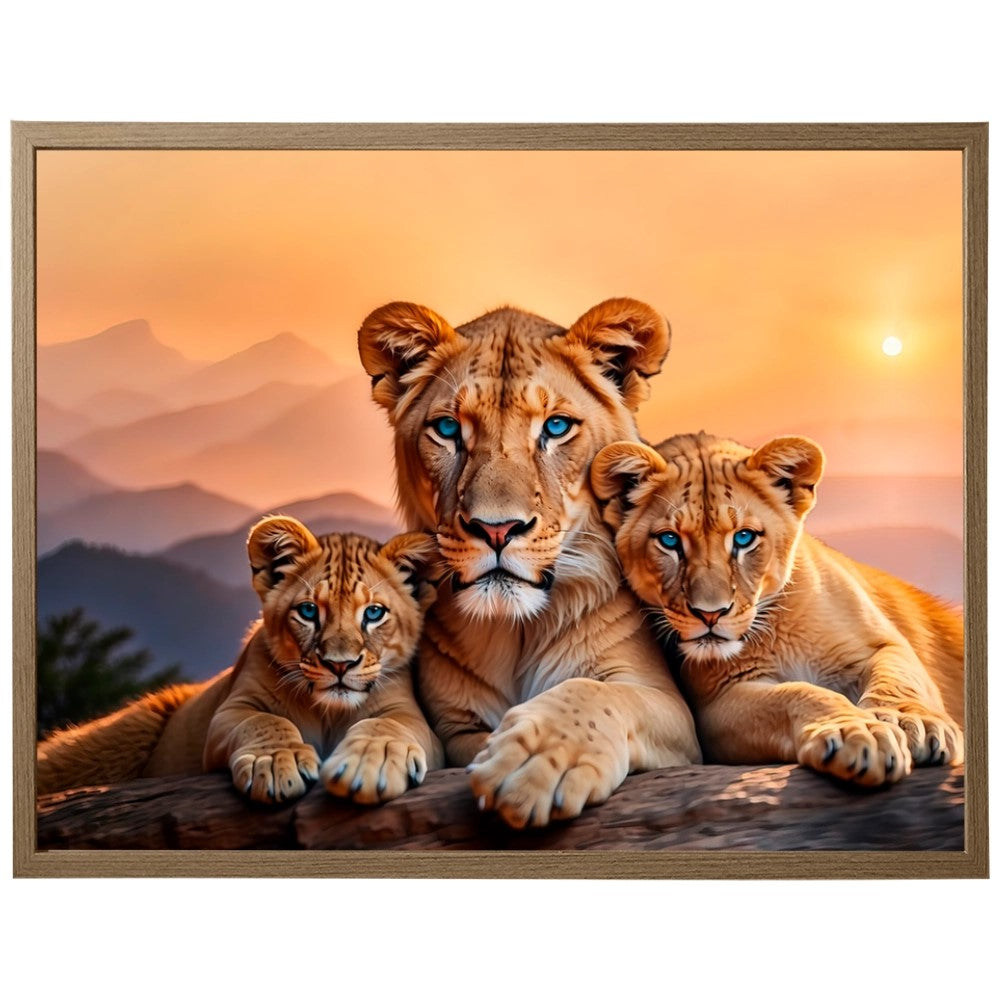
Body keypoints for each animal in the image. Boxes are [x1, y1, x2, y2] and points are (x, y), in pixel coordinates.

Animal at [37, 518, 444, 804]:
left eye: (374, 613)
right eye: (309, 611)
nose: (339, 665)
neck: (328, 712)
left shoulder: (412, 717)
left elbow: (386, 726)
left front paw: (369, 763)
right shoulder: (229, 711)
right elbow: (265, 721)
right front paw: (277, 763)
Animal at [357, 298, 701, 828]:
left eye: (556, 427)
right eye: (448, 429)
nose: (496, 529)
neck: (516, 630)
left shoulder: (672, 711)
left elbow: (600, 693)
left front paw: (537, 759)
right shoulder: (455, 723)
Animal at [590, 431, 964, 786]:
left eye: (744, 538)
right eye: (669, 540)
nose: (710, 614)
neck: (776, 629)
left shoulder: (883, 644)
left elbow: (898, 678)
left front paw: (913, 722)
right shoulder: (717, 704)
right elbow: (797, 694)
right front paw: (854, 732)